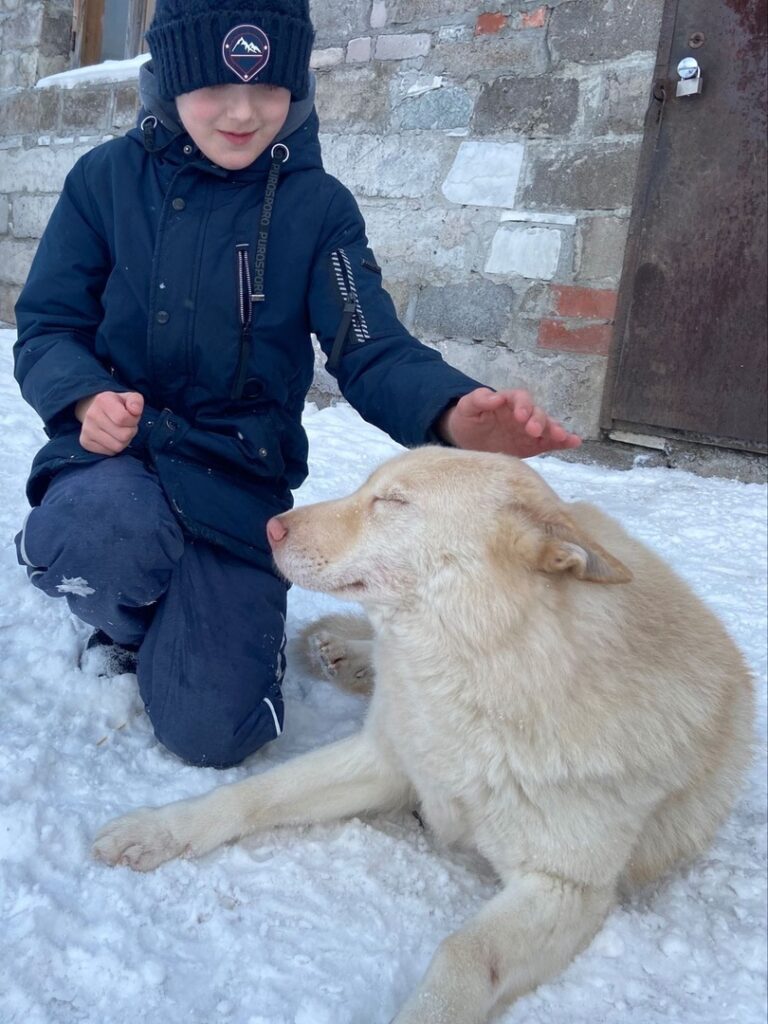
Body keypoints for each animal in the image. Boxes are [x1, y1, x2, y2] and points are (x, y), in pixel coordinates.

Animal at [93, 448, 753, 1024]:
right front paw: (160, 830)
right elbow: (251, 794)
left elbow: (462, 955)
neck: (484, 673)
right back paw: (348, 652)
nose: (270, 526)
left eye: (392, 501)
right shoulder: (386, 758)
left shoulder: (567, 890)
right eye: (369, 487)